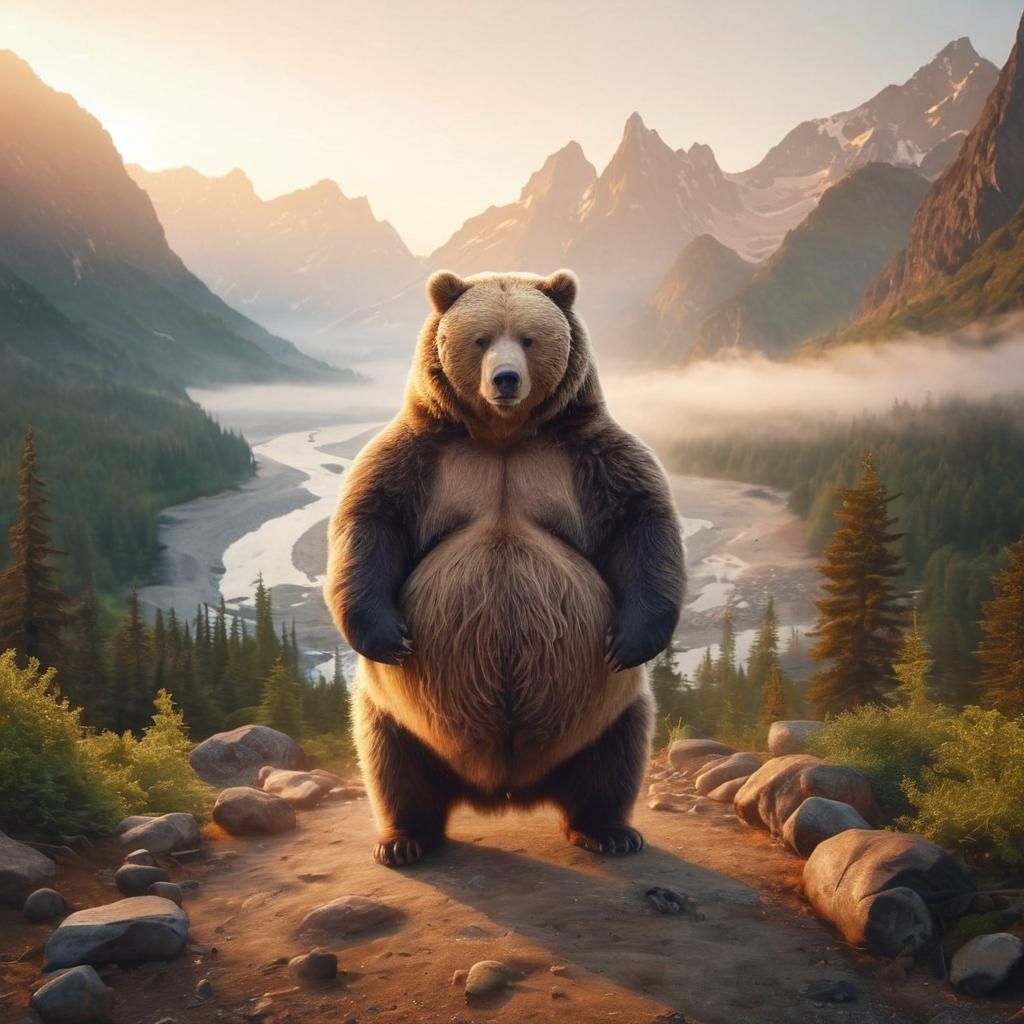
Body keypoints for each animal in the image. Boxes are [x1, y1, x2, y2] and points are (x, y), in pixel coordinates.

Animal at [324, 269, 685, 867]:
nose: (507, 379)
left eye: (530, 339)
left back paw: (609, 830)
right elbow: (371, 518)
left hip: (605, 710)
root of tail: (505, 790)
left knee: (616, 756)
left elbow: (640, 519)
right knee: (391, 760)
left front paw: (631, 638)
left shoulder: (587, 455)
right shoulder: (421, 455)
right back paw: (404, 839)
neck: (503, 435)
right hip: (399, 713)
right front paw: (387, 634)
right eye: (481, 339)